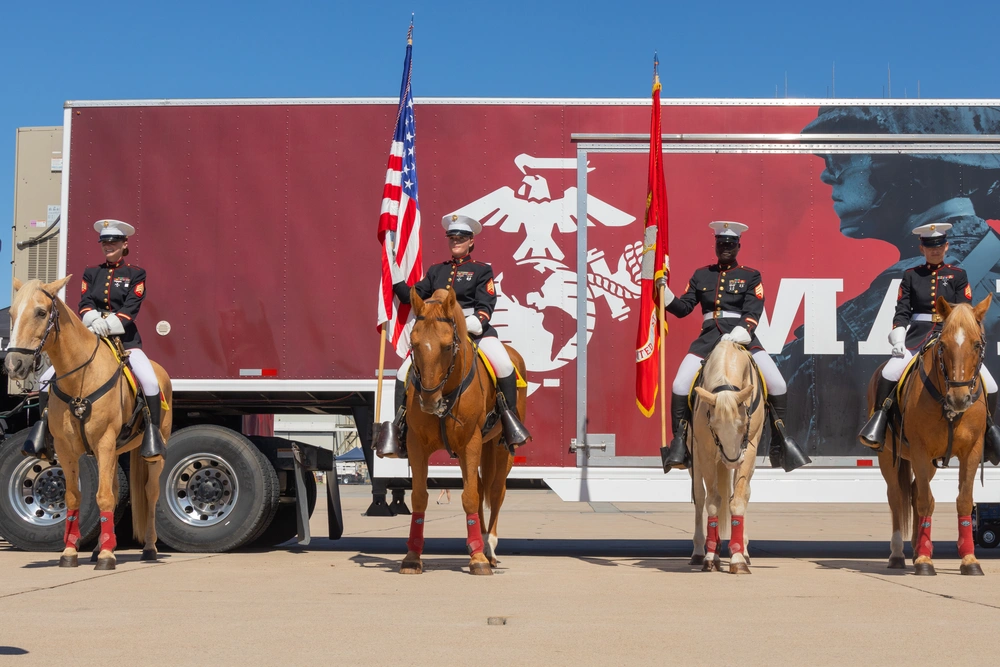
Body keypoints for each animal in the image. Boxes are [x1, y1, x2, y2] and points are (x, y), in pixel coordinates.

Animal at [3, 276, 172, 568]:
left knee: (150, 493)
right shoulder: (67, 448)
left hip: (152, 452)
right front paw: (71, 551)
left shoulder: (104, 442)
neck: (80, 378)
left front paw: (106, 556)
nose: (14, 364)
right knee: (114, 489)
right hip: (115, 451)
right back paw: (100, 547)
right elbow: (74, 496)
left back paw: (148, 548)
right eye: (12, 314)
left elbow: (103, 496)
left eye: (41, 312)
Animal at [398, 286, 528, 576]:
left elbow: (469, 497)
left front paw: (478, 559)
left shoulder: (471, 442)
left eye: (447, 346)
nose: (429, 402)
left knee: (495, 490)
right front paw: (412, 556)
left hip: (501, 448)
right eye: (413, 344)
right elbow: (420, 497)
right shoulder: (416, 445)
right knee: (480, 487)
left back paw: (489, 548)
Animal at [688, 342, 764, 576]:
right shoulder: (704, 451)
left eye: (744, 424)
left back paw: (743, 551)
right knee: (699, 497)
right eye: (713, 425)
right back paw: (699, 551)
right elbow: (712, 502)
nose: (731, 460)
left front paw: (738, 558)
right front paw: (711, 557)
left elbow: (738, 500)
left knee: (744, 494)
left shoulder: (749, 451)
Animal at [868, 294, 992, 576]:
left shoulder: (971, 451)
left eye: (977, 344)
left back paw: (915, 550)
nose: (959, 399)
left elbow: (964, 501)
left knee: (913, 492)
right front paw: (925, 561)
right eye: (943, 346)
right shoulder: (921, 451)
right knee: (897, 497)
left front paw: (969, 559)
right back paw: (898, 554)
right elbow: (926, 501)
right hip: (889, 456)